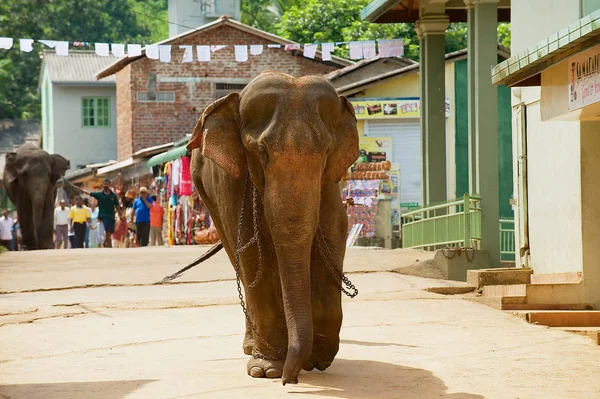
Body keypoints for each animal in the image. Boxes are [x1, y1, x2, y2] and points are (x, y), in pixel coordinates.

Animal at [186, 70, 356, 386]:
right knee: (237, 255)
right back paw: (253, 349)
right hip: (204, 191)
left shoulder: (330, 180)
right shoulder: (231, 179)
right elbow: (251, 250)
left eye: (327, 150)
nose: (290, 381)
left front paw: (318, 360)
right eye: (261, 151)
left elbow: (335, 231)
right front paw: (266, 370)